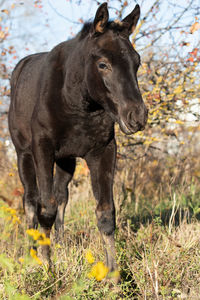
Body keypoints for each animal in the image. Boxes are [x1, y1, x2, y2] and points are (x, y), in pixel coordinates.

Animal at [8, 2, 147, 276]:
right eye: (103, 64)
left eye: (136, 62)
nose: (137, 116)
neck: (77, 103)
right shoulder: (42, 149)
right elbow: (46, 207)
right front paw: (47, 267)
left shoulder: (103, 151)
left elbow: (105, 212)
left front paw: (114, 276)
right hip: (23, 155)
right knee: (30, 200)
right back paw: (31, 251)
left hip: (67, 160)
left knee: (62, 196)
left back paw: (60, 246)